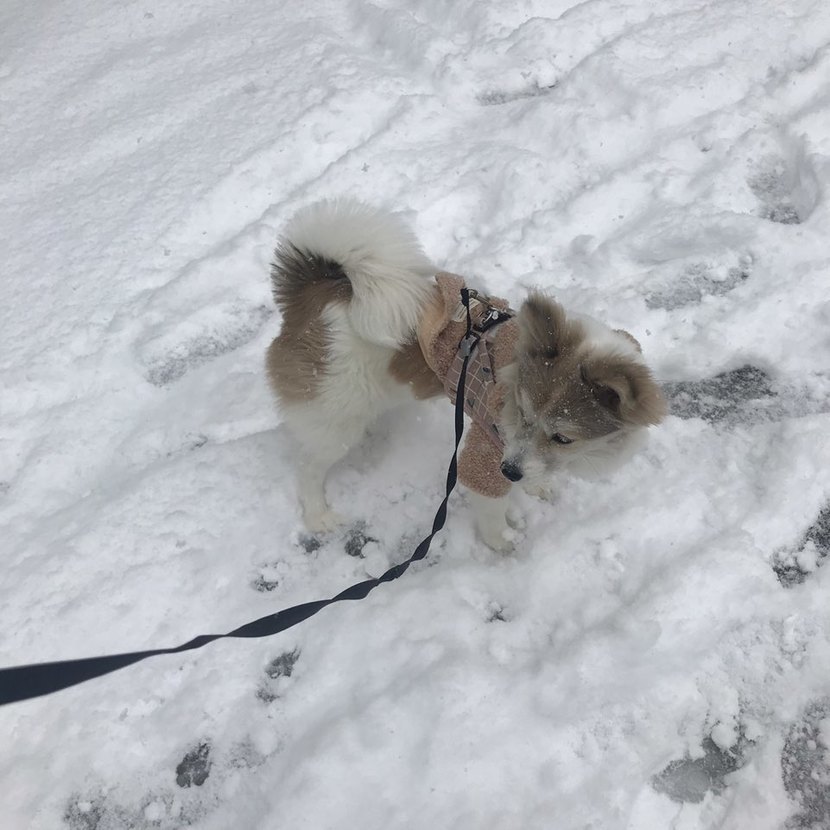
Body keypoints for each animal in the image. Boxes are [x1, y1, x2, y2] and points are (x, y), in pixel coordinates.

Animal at [266, 200, 666, 550]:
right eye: (522, 414)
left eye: (563, 438)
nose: (511, 472)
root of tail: (317, 294)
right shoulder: (488, 447)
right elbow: (492, 507)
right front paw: (503, 543)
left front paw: (535, 487)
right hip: (336, 414)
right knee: (309, 465)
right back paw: (318, 515)